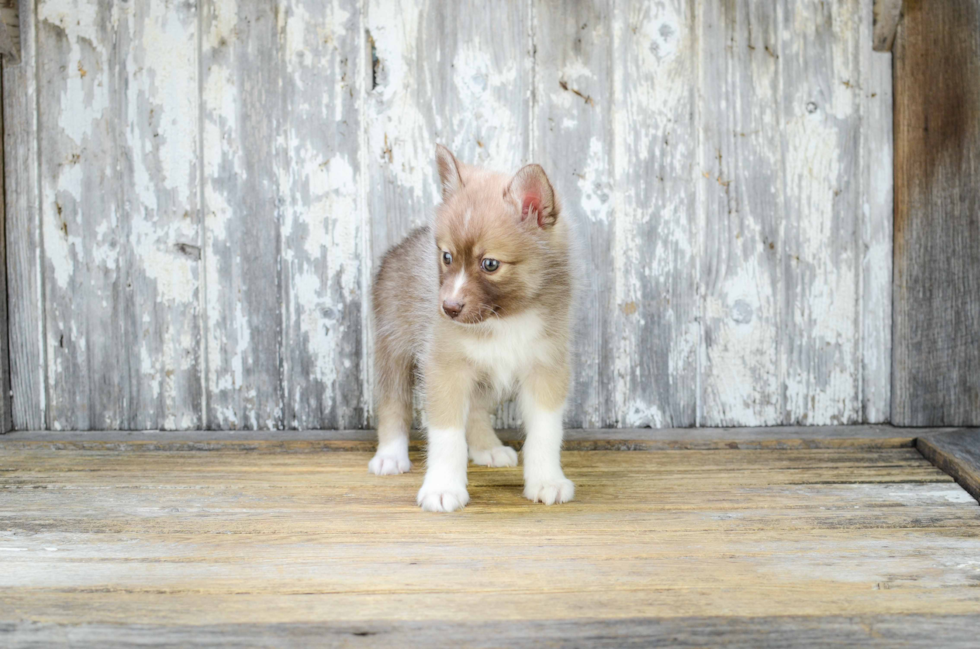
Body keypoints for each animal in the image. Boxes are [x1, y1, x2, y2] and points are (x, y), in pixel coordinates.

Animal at [372, 143, 580, 512]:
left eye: (490, 264)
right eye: (446, 257)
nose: (448, 309)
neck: (505, 318)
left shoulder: (546, 367)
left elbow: (545, 432)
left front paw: (547, 481)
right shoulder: (445, 368)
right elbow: (446, 435)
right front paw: (443, 487)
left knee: (477, 411)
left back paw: (487, 448)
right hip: (392, 347)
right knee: (393, 402)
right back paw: (390, 456)